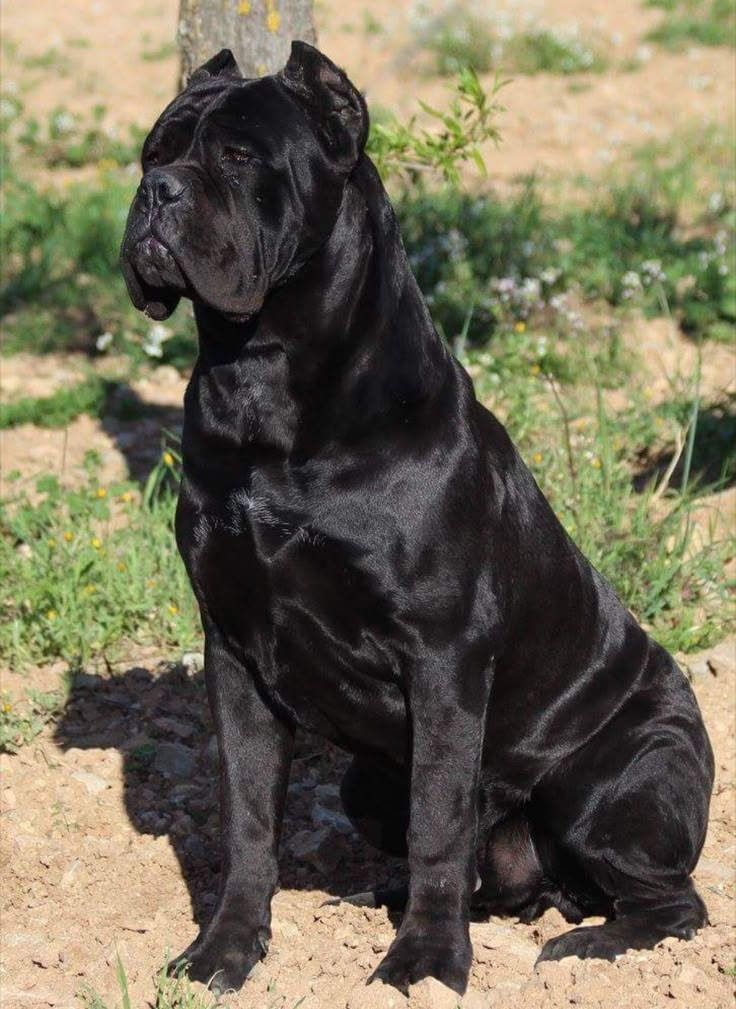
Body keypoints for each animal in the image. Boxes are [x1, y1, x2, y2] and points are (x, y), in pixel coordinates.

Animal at [120, 43, 710, 996]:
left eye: (239, 158)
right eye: (153, 151)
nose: (157, 190)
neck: (265, 379)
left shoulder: (443, 656)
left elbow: (438, 815)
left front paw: (425, 965)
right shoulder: (235, 651)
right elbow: (246, 817)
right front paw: (223, 950)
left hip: (617, 784)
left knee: (671, 900)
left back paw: (585, 947)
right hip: (367, 783)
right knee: (496, 878)